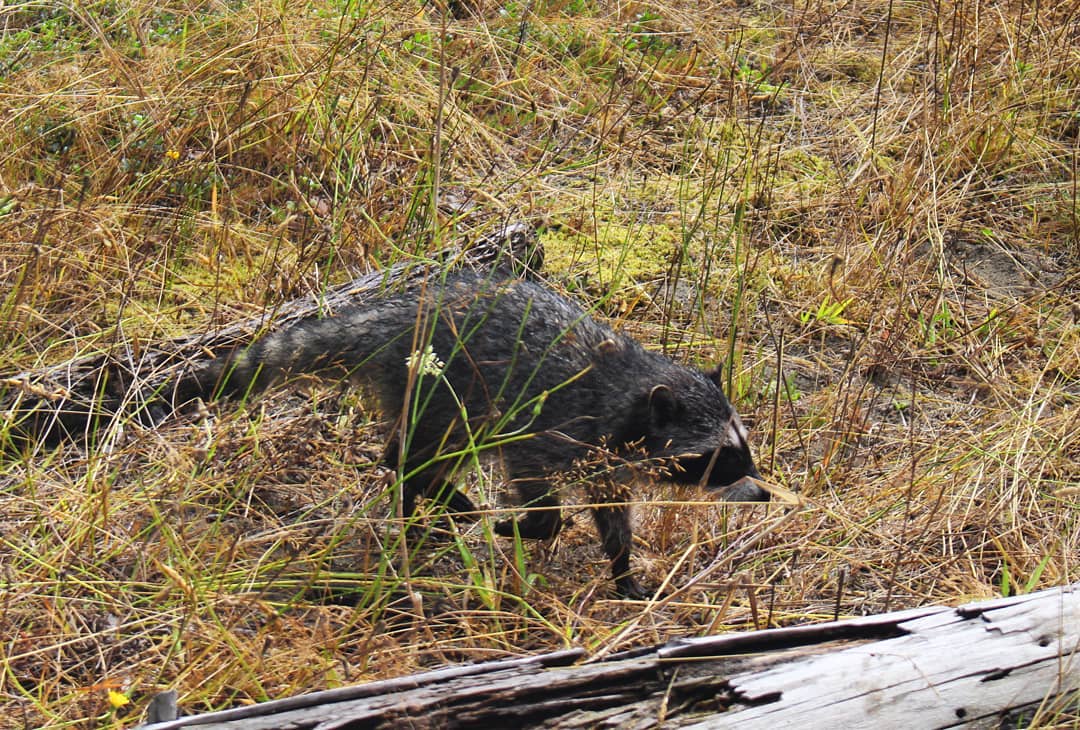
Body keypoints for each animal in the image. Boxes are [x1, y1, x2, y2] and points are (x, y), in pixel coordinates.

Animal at [164, 270, 767, 597]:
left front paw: (622, 571)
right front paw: (533, 525)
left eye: (745, 448)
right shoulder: (554, 429)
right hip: (444, 388)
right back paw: (434, 494)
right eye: (724, 458)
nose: (763, 491)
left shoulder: (608, 462)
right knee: (415, 453)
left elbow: (612, 516)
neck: (630, 388)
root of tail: (393, 315)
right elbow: (540, 492)